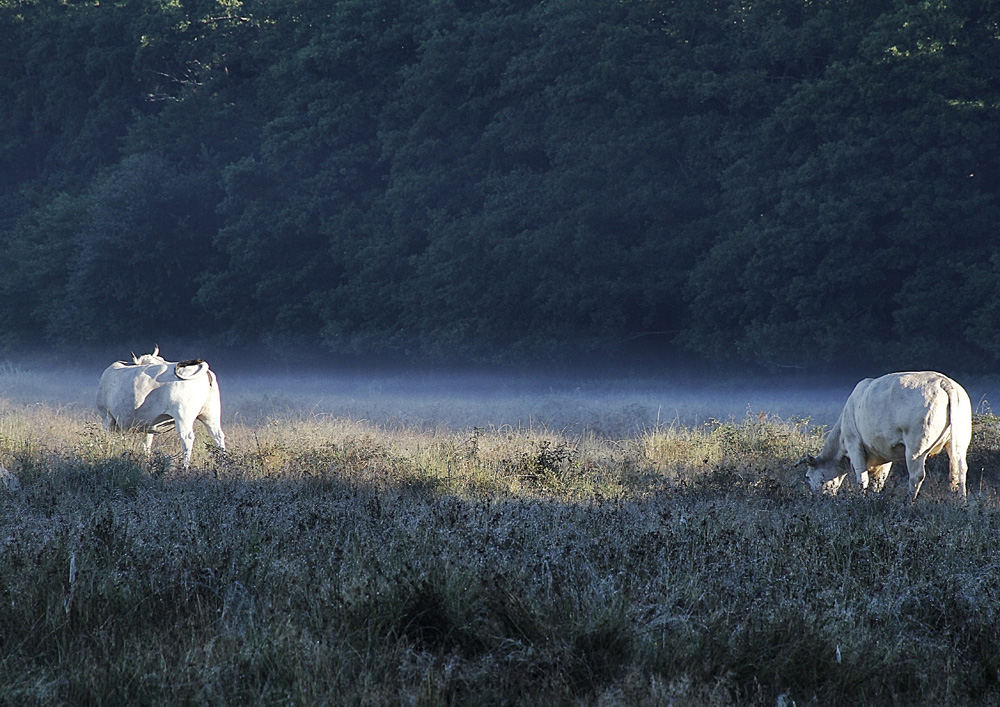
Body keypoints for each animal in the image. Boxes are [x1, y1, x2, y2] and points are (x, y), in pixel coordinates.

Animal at [95, 346, 225, 468]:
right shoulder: (148, 425)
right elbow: (146, 445)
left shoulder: (107, 417)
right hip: (211, 414)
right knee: (217, 436)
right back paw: (222, 463)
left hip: (183, 416)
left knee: (187, 438)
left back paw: (184, 467)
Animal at [800, 370, 972, 504]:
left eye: (808, 476)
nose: (816, 497)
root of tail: (943, 381)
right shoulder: (884, 453)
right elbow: (879, 481)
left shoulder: (853, 443)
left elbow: (862, 478)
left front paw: (861, 499)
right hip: (959, 441)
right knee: (959, 470)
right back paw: (959, 502)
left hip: (916, 446)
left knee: (917, 475)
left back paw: (908, 502)